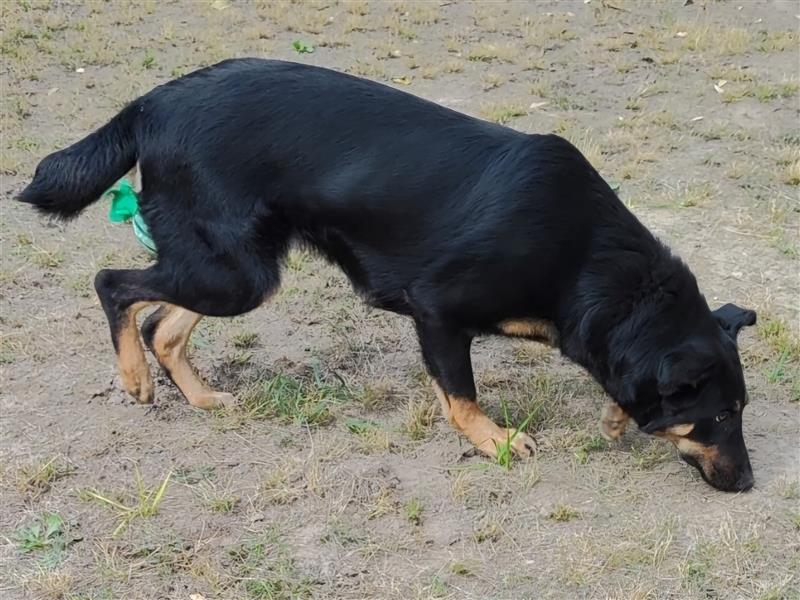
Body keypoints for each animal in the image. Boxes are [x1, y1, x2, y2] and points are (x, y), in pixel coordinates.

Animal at [17, 58, 756, 492]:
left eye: (738, 412)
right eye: (718, 417)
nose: (748, 484)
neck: (589, 256)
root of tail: (150, 102)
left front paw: (611, 417)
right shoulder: (437, 310)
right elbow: (462, 395)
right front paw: (496, 442)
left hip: (234, 266)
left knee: (162, 325)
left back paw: (199, 397)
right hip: (231, 272)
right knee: (114, 285)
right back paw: (134, 379)